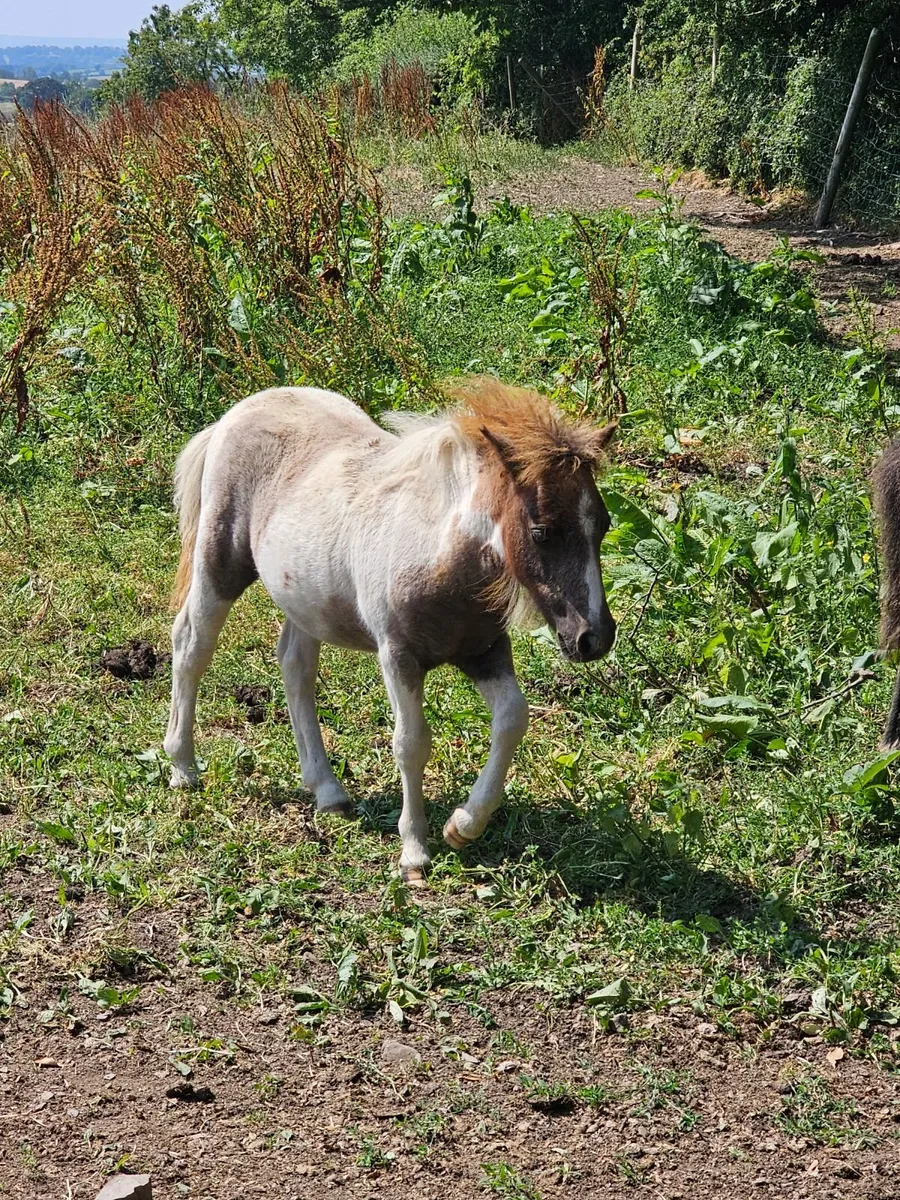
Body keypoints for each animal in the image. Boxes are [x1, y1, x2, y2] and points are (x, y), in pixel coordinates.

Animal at [163, 379, 618, 882]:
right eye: (541, 531)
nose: (595, 638)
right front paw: (414, 852)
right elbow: (411, 743)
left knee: (295, 666)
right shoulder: (398, 655)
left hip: (306, 597)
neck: (440, 554)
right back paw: (183, 767)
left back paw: (328, 791)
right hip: (220, 563)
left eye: (603, 524)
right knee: (191, 645)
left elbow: (513, 718)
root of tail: (235, 414)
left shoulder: (484, 650)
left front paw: (462, 826)